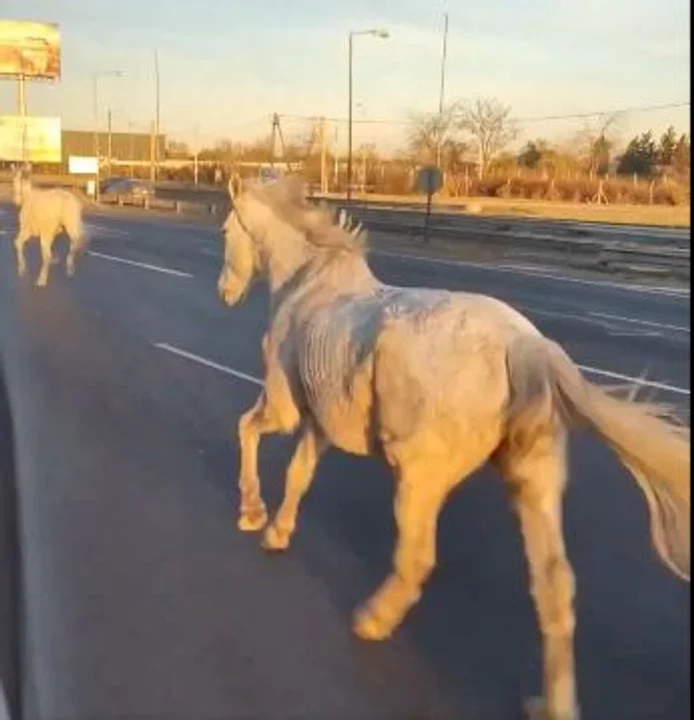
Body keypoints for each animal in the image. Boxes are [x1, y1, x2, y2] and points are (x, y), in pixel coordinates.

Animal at [218, 174, 692, 720]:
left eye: (225, 229)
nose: (224, 291)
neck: (308, 285)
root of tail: (526, 346)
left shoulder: (286, 408)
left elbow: (248, 431)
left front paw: (252, 513)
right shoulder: (320, 423)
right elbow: (299, 475)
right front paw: (276, 531)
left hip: (419, 476)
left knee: (418, 557)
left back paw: (372, 619)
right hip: (533, 478)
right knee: (555, 585)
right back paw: (552, 703)